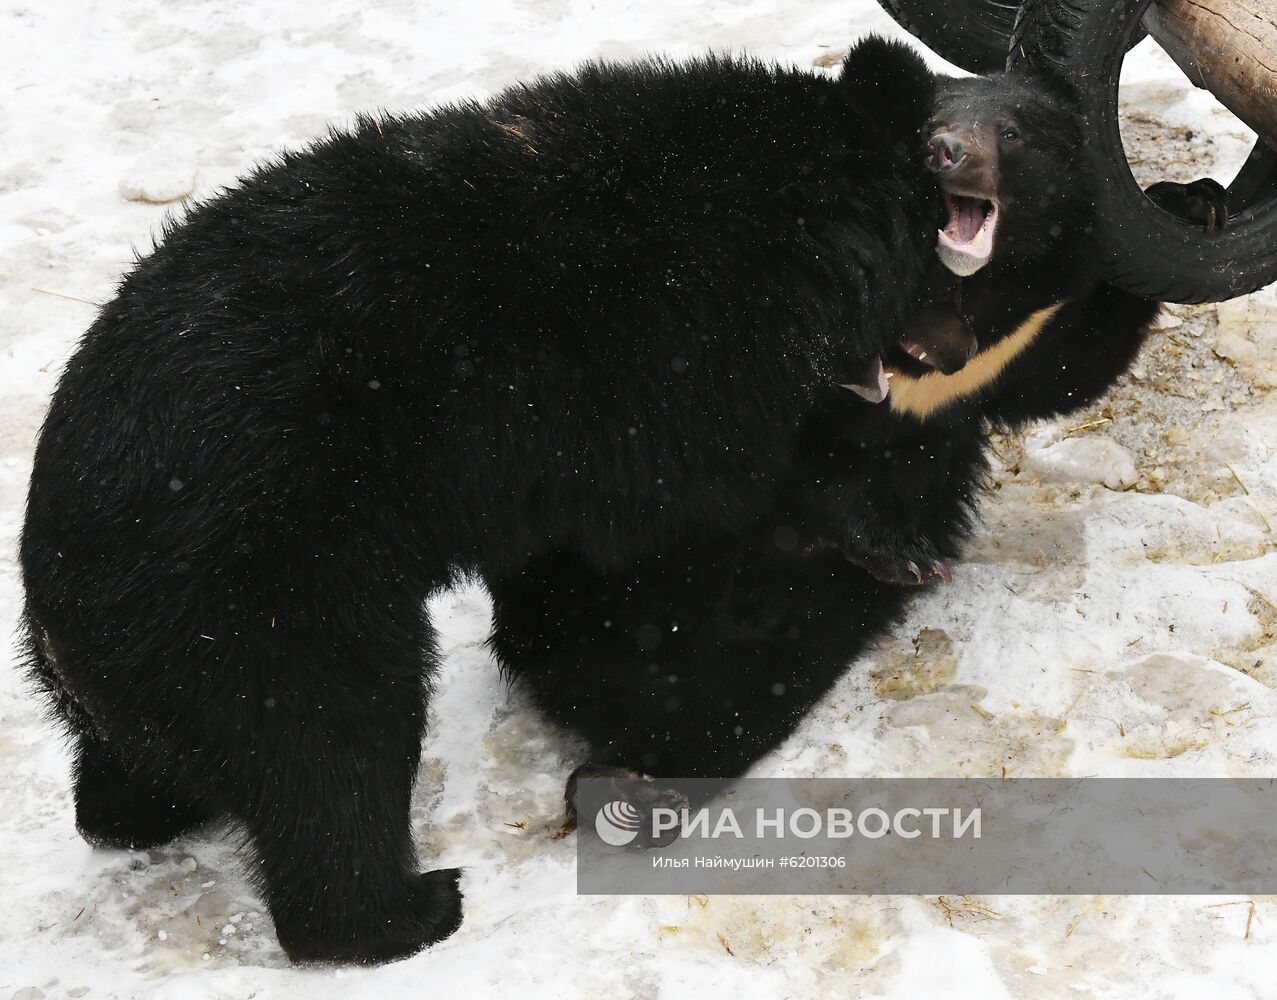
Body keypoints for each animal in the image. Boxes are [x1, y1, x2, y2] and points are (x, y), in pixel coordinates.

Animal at [22, 35, 960, 965]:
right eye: (938, 242)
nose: (946, 349)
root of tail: (61, 605)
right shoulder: (666, 360)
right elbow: (695, 492)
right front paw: (880, 534)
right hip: (261, 600)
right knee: (332, 746)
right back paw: (407, 909)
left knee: (145, 772)